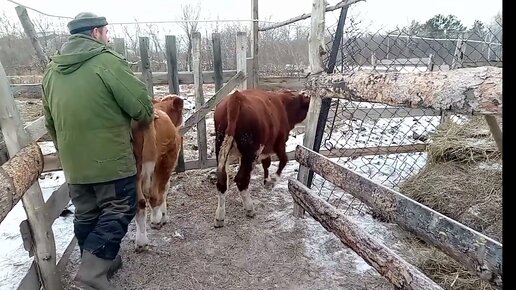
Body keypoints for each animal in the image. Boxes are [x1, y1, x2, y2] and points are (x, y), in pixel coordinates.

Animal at [132, 94, 184, 250]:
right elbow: (165, 189)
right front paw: (163, 215)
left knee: (139, 204)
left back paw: (141, 242)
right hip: (164, 160)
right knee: (154, 195)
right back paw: (156, 220)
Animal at [212, 87, 308, 228]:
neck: (283, 103)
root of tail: (236, 98)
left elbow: (266, 163)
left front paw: (266, 180)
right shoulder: (279, 143)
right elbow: (283, 160)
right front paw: (272, 181)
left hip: (221, 146)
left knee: (222, 180)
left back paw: (219, 217)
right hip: (251, 151)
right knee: (241, 179)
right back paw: (249, 209)